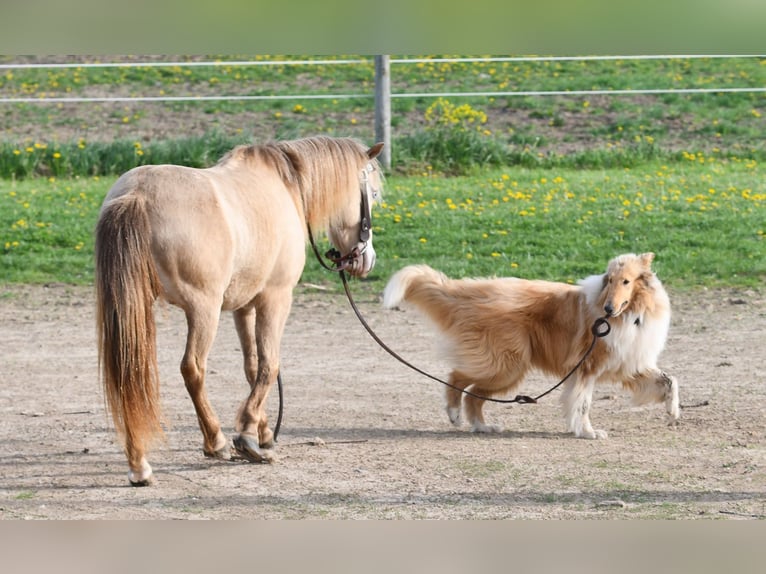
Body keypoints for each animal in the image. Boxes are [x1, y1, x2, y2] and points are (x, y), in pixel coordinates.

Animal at [95, 136, 384, 485]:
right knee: (193, 369)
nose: (366, 260)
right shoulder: (276, 298)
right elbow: (270, 365)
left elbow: (252, 366)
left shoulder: (244, 306)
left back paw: (139, 464)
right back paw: (215, 441)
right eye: (372, 195)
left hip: (134, 309)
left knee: (130, 372)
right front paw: (247, 436)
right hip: (204, 310)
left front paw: (263, 432)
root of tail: (136, 194)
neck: (285, 185)